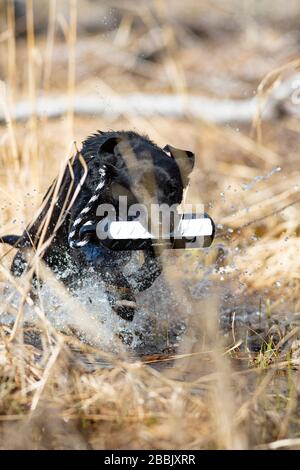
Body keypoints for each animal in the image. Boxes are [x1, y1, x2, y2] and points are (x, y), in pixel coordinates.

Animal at [0, 132, 195, 324]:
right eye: (139, 187)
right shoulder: (80, 235)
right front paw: (122, 300)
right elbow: (103, 262)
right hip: (32, 258)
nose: (165, 223)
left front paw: (136, 282)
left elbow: (154, 267)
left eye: (174, 188)